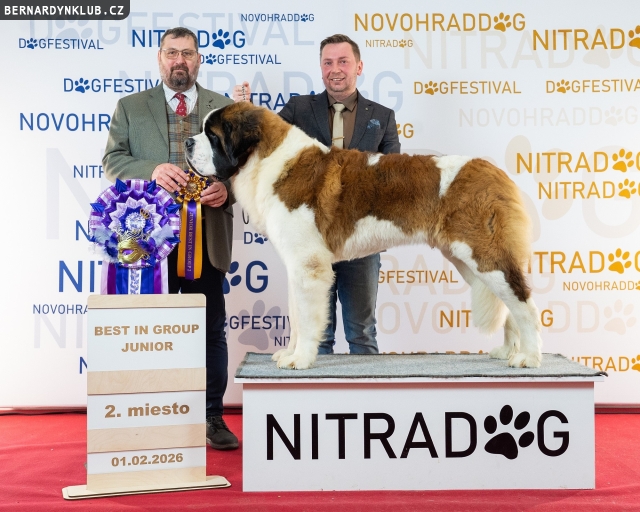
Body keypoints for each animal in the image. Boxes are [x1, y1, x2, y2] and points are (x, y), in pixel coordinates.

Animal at [185, 102, 542, 370]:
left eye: (212, 136)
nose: (188, 143)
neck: (267, 159)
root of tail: (495, 171)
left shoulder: (308, 266)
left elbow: (308, 317)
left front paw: (300, 359)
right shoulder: (296, 265)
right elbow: (295, 315)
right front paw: (289, 352)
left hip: (483, 253)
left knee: (523, 300)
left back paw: (529, 356)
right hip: (467, 259)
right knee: (507, 301)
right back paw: (508, 350)